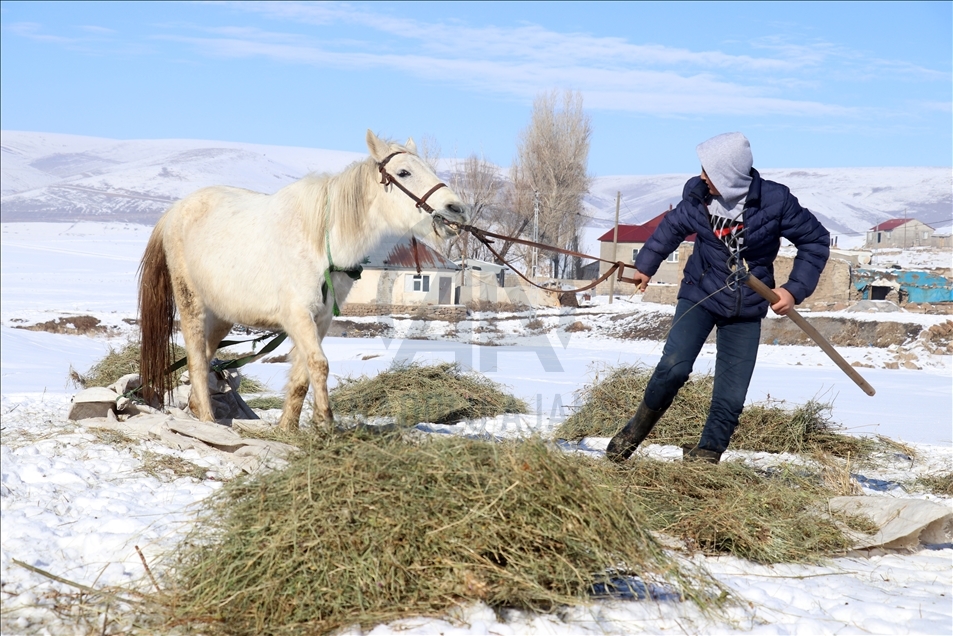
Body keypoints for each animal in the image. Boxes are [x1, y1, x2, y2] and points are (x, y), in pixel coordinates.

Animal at [139, 130, 468, 430]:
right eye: (403, 172)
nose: (456, 209)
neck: (321, 245)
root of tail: (175, 211)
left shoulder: (319, 320)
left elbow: (302, 375)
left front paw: (289, 429)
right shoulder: (297, 315)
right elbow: (319, 365)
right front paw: (325, 421)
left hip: (222, 315)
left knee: (206, 358)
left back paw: (197, 408)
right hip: (191, 303)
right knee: (196, 360)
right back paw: (207, 420)